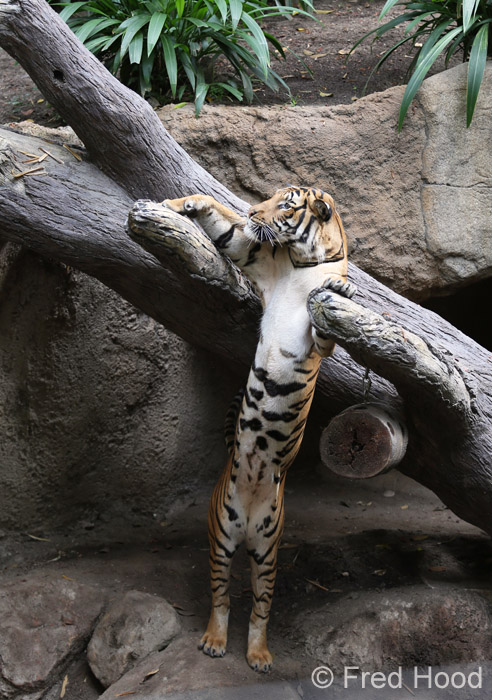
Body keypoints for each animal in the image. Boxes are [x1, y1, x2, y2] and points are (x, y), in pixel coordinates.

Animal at [164, 186, 355, 672]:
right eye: (271, 196)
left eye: (286, 203)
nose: (253, 211)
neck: (305, 262)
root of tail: (249, 518)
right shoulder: (258, 260)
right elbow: (227, 229)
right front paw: (185, 204)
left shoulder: (319, 338)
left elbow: (328, 321)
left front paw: (341, 287)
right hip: (221, 541)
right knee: (221, 598)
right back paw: (214, 641)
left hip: (268, 553)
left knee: (261, 606)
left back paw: (259, 655)